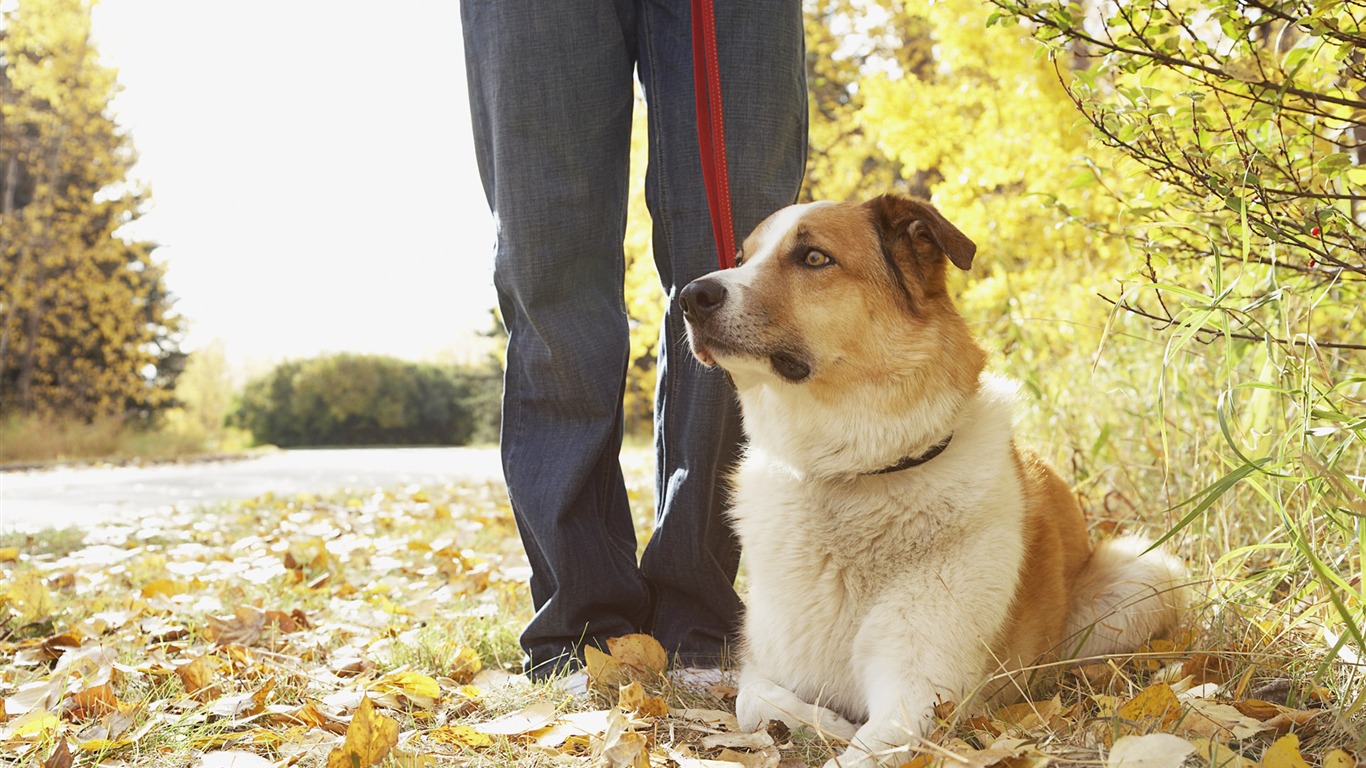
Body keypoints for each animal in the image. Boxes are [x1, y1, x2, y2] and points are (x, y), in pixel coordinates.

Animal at [677, 194, 1191, 759]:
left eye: (813, 258)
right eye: (742, 258)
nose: (690, 296)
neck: (852, 476)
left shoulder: (918, 695)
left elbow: (860, 751)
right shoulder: (765, 665)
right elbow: (749, 702)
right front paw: (826, 723)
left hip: (1147, 574)